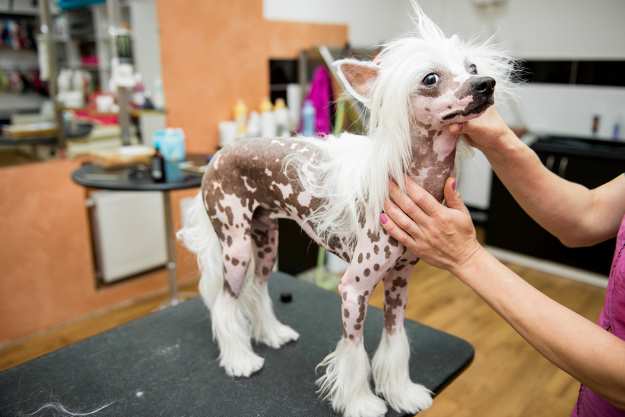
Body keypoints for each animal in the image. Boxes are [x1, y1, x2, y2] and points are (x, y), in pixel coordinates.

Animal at [178, 4, 516, 416]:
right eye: (430, 78)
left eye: (471, 67)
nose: (486, 84)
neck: (414, 178)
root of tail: (219, 155)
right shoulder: (353, 289)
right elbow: (353, 352)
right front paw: (361, 402)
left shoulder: (400, 279)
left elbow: (395, 339)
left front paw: (400, 392)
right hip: (236, 246)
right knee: (226, 303)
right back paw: (239, 359)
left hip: (265, 240)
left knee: (258, 288)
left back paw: (271, 333)